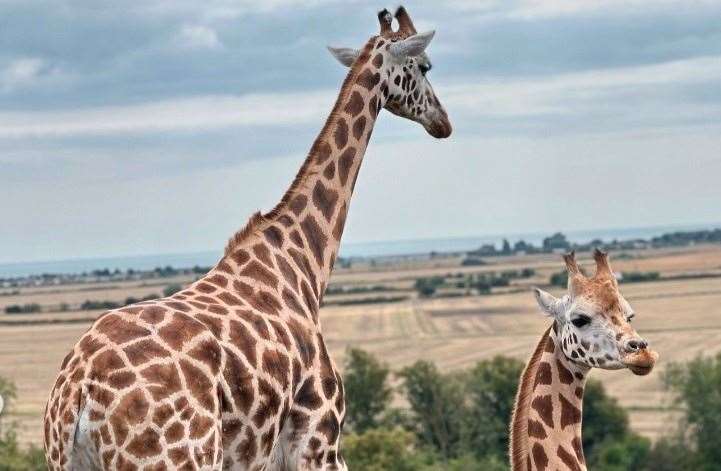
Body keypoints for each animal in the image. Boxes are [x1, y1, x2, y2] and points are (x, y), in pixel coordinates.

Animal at [43, 7, 450, 471]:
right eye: (425, 66)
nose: (443, 122)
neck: (304, 263)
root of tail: (78, 393)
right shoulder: (320, 436)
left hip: (69, 459)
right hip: (181, 457)